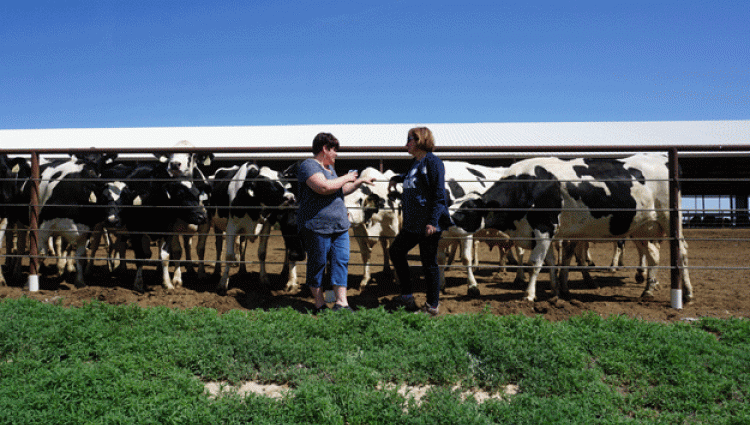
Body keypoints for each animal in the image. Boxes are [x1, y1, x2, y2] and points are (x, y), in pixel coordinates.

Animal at [452, 152, 692, 302]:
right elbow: (550, 262)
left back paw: (687, 293)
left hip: (670, 221)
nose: (447, 222)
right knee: (653, 255)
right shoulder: (545, 233)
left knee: (681, 253)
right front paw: (555, 290)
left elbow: (535, 263)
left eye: (466, 211)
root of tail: (662, 157)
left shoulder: (544, 228)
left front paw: (529, 295)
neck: (527, 185)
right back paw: (648, 290)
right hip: (643, 227)